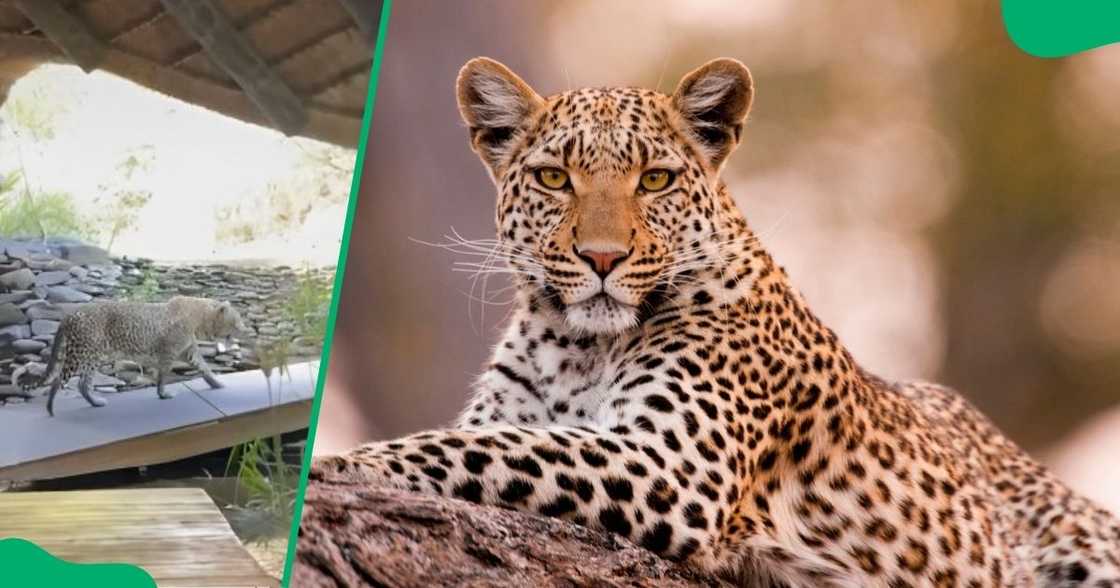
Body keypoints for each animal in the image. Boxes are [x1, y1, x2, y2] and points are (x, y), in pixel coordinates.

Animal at [19, 295, 249, 414]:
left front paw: (217, 383)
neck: (199, 317)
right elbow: (163, 376)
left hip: (91, 356)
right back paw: (51, 409)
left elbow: (205, 367)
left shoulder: (188, 352)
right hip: (84, 354)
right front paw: (163, 394)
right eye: (237, 321)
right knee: (61, 379)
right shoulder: (167, 353)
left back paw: (95, 403)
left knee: (82, 384)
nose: (245, 330)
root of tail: (68, 315)